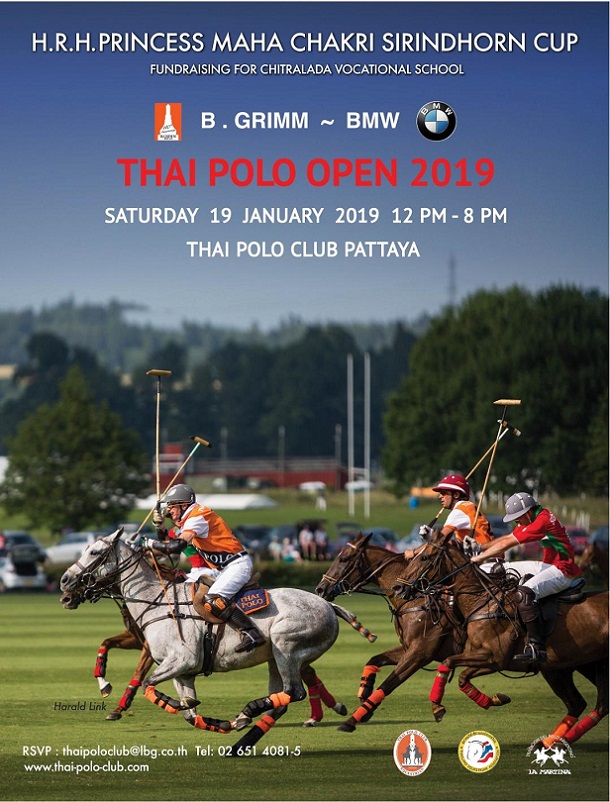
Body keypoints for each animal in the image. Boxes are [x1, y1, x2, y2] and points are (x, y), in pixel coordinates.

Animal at [59, 530, 374, 749]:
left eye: (95, 551)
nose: (64, 582)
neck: (157, 602)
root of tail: (328, 605)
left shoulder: (181, 659)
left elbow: (148, 684)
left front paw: (169, 703)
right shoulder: (182, 672)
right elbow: (188, 711)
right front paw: (214, 721)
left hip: (286, 646)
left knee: (294, 691)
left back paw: (251, 712)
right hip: (276, 657)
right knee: (283, 696)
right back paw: (244, 724)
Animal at [315, 533, 482, 733]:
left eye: (344, 559)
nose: (320, 589)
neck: (415, 600)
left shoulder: (420, 653)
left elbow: (389, 683)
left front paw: (355, 717)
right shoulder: (408, 647)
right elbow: (374, 660)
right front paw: (364, 694)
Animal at [392, 530, 609, 747]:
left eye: (425, 557)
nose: (398, 588)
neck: (482, 600)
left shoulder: (495, 656)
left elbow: (449, 663)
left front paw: (437, 706)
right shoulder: (490, 659)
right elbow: (462, 677)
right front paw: (495, 700)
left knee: (591, 704)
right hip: (570, 666)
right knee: (583, 704)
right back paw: (551, 743)